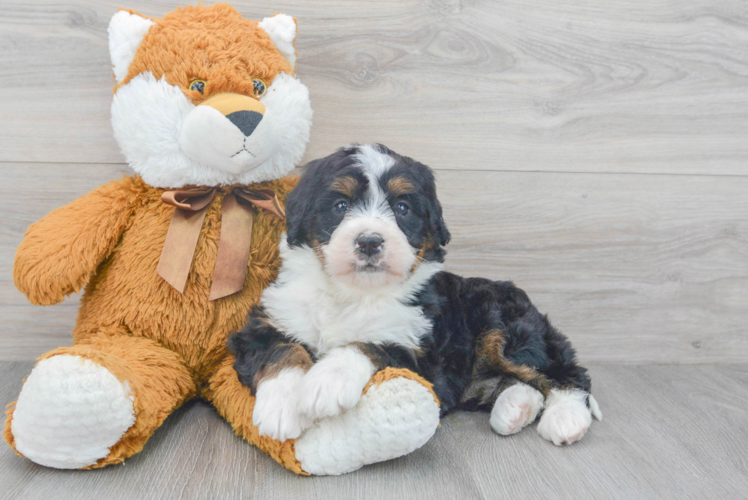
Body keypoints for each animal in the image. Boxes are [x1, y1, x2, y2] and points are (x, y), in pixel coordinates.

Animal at [228, 145, 600, 446]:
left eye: (403, 208)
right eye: (340, 205)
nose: (369, 241)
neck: (353, 293)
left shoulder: (419, 350)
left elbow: (370, 344)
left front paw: (326, 382)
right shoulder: (264, 324)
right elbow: (282, 350)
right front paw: (283, 407)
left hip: (505, 327)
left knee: (567, 374)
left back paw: (566, 419)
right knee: (527, 383)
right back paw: (515, 409)